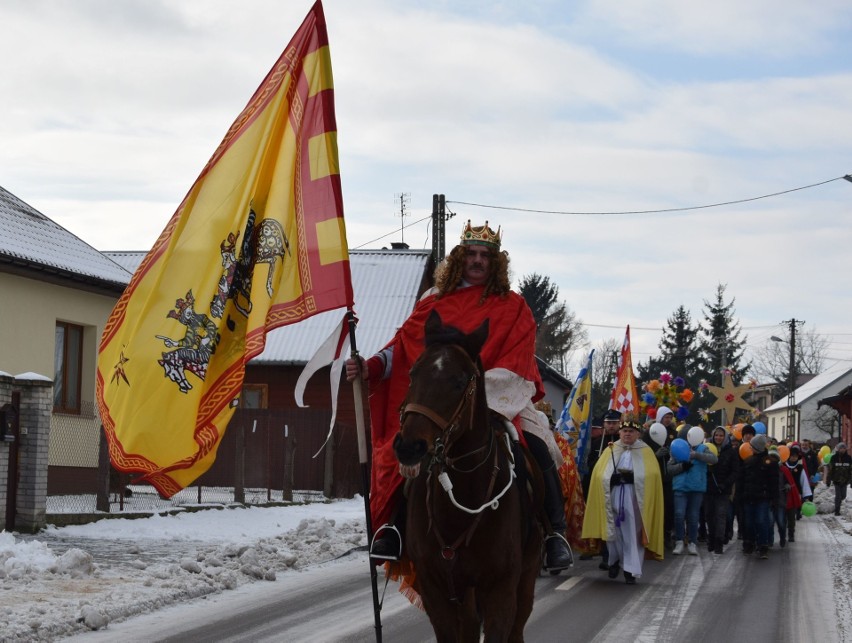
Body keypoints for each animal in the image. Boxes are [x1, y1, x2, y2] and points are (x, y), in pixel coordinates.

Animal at [392, 310, 544, 640]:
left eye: (460, 381)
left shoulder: (501, 589)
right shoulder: (435, 590)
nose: (409, 447)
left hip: (525, 578)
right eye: (413, 373)